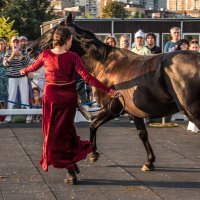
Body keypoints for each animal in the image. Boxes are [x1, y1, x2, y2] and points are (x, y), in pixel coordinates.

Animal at [27, 13, 200, 171]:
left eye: (52, 31)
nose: (29, 49)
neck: (105, 64)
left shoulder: (112, 108)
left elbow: (93, 124)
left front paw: (94, 154)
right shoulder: (133, 111)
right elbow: (142, 134)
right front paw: (149, 162)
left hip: (191, 111)